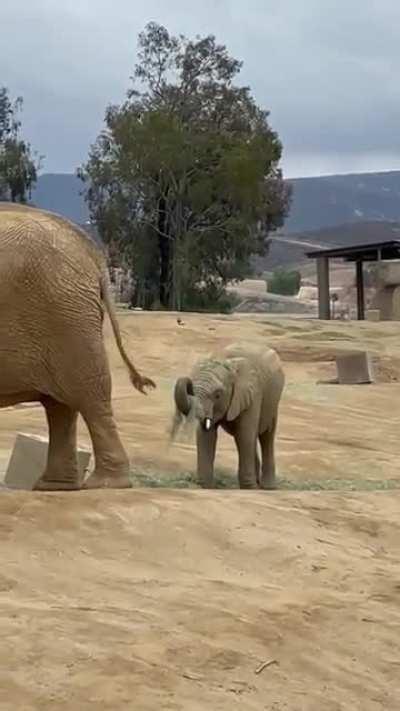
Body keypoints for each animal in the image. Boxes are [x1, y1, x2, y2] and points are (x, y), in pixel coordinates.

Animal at [0, 202, 155, 490]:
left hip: (66, 316)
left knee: (88, 395)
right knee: (61, 406)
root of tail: (90, 249)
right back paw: (53, 486)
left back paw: (104, 484)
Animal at [171, 343, 285, 489]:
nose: (187, 381)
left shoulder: (252, 395)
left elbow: (245, 435)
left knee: (266, 435)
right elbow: (206, 435)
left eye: (218, 395)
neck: (227, 362)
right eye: (192, 389)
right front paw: (206, 486)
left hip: (273, 401)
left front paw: (249, 488)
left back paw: (267, 487)